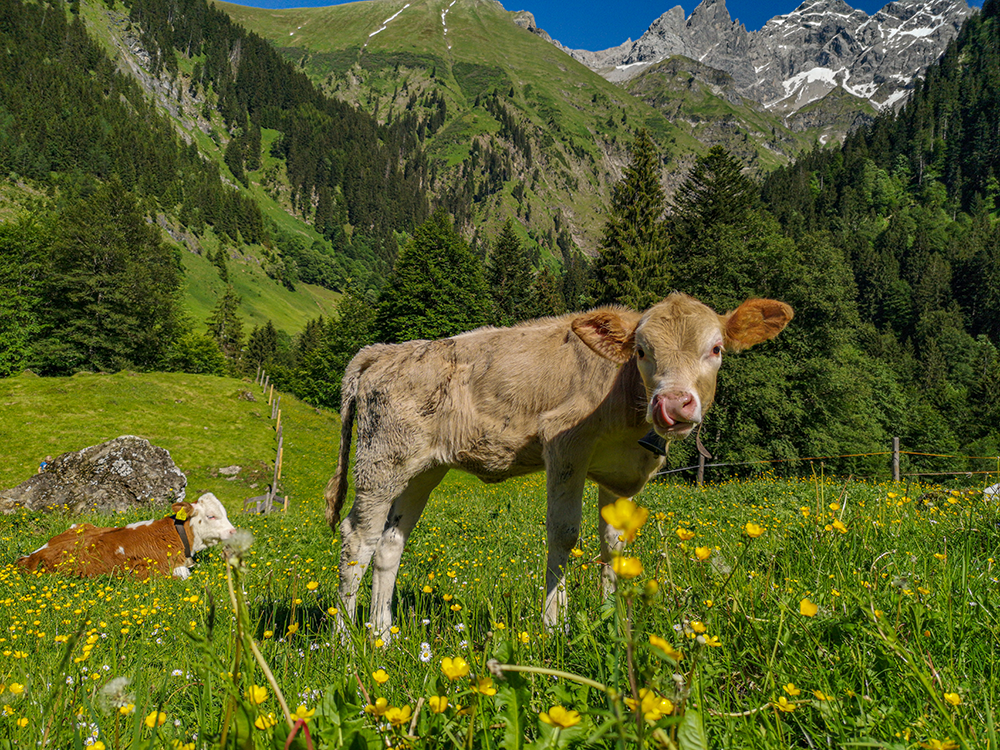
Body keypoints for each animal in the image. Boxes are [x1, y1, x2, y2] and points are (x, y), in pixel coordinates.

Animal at [328, 296, 796, 640]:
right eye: (642, 351)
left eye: (715, 349)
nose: (674, 404)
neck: (625, 398)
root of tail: (385, 351)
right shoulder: (565, 444)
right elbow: (564, 533)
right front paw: (555, 625)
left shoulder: (622, 473)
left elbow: (614, 544)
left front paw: (612, 618)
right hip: (380, 460)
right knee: (358, 538)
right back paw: (345, 639)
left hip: (421, 468)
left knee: (390, 543)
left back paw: (381, 636)